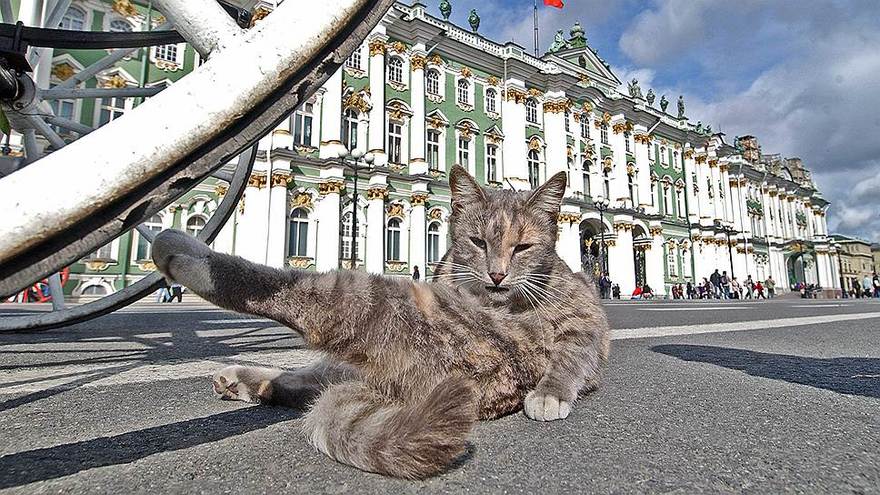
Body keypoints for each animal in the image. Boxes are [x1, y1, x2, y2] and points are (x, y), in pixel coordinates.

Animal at [151, 166, 608, 480]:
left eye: (523, 247)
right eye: (478, 242)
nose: (496, 275)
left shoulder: (582, 321)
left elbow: (573, 355)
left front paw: (550, 393)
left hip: (370, 300)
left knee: (296, 298)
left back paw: (184, 253)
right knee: (301, 381)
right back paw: (240, 378)